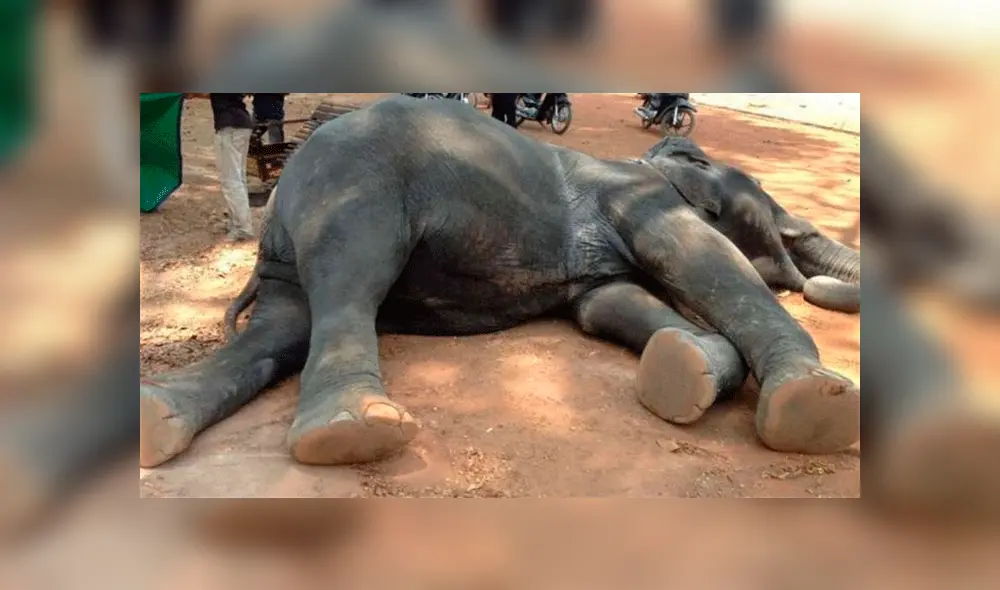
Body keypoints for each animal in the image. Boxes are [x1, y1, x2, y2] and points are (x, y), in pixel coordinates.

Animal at [139, 95, 861, 469]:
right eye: (764, 197)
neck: (652, 163)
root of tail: (280, 197)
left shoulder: (602, 267)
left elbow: (607, 304)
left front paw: (688, 367)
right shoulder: (642, 202)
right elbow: (702, 258)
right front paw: (816, 402)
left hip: (290, 251)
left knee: (285, 324)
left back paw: (159, 419)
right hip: (357, 187)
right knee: (350, 278)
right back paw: (351, 432)